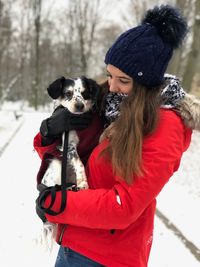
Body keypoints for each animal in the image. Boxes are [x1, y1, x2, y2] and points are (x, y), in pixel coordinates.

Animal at [38, 76, 100, 251]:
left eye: (85, 92)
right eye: (68, 93)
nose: (79, 106)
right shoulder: (69, 144)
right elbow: (79, 163)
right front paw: (83, 182)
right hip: (57, 168)